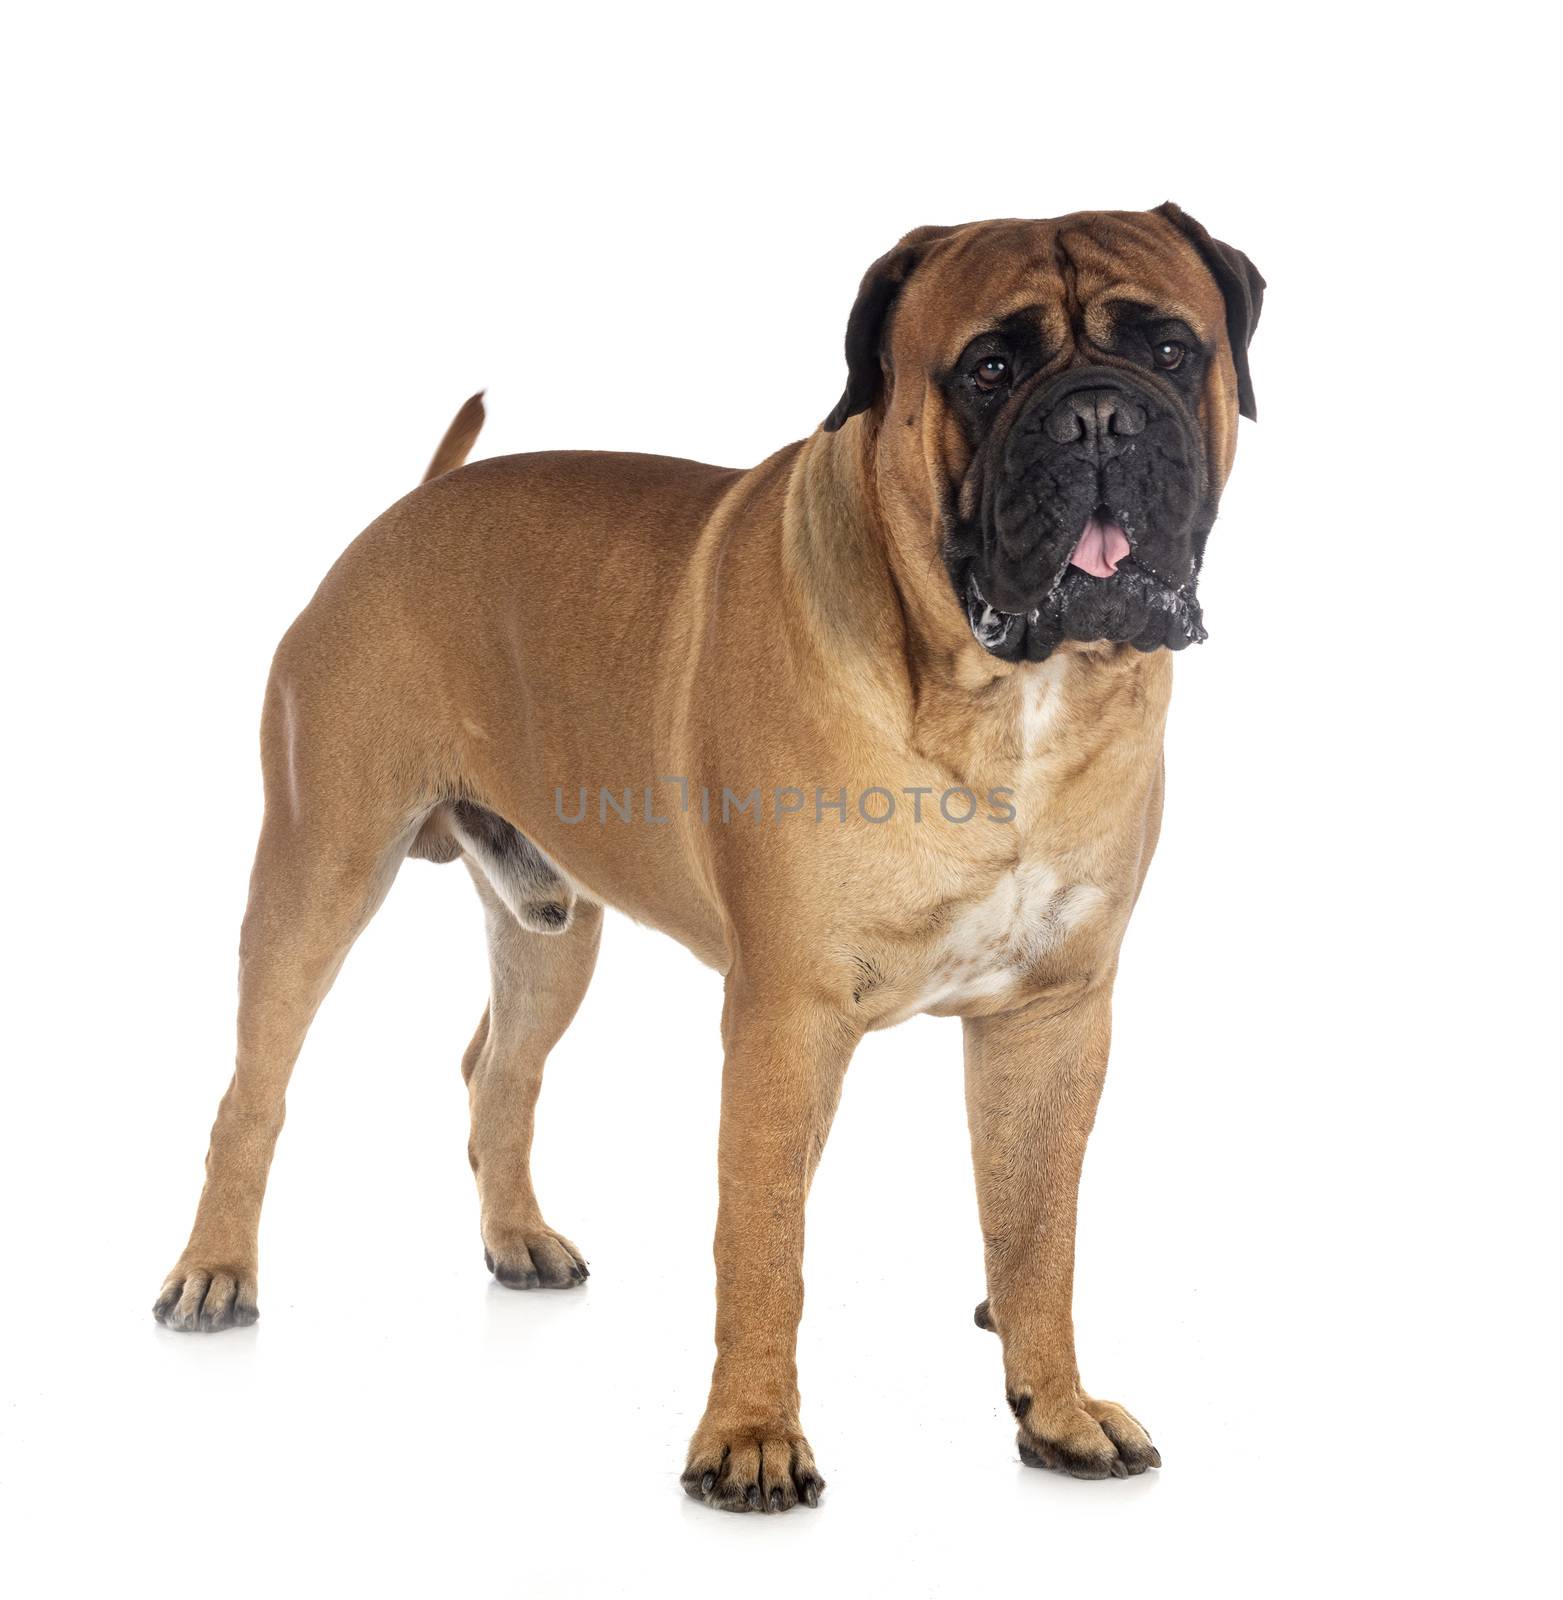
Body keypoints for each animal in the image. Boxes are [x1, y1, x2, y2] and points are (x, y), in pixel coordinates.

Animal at [155, 203, 1254, 1510]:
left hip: (552, 926)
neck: (1006, 694)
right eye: (989, 368)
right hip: (320, 868)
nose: (1098, 416)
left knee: (498, 1069)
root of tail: (406, 510)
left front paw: (1061, 1408)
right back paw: (215, 1271)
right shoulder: (786, 1016)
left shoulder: (1053, 1013)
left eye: (1173, 349)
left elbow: (1038, 1227)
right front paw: (751, 1437)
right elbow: (764, 1239)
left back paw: (518, 1238)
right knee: (254, 1089)